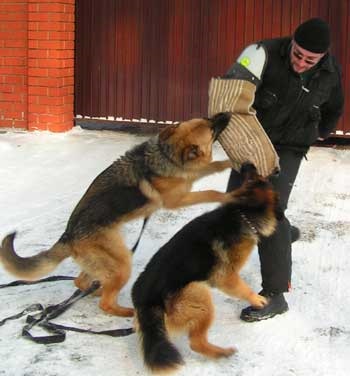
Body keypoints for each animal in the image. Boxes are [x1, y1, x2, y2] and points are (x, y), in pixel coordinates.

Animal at [0, 111, 235, 318]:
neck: (167, 154)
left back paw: (95, 290)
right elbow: (210, 192)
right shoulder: (177, 200)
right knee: (105, 302)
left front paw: (229, 163)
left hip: (106, 262)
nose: (228, 113)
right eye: (211, 127)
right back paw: (125, 311)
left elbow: (211, 166)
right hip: (121, 263)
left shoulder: (191, 175)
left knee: (82, 282)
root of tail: (68, 235)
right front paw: (230, 195)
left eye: (207, 119)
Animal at [132, 163, 284, 374]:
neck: (241, 213)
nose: (247, 164)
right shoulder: (226, 276)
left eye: (251, 176)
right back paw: (221, 353)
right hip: (198, 293)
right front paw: (256, 299)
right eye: (260, 179)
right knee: (196, 342)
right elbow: (242, 288)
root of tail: (147, 303)